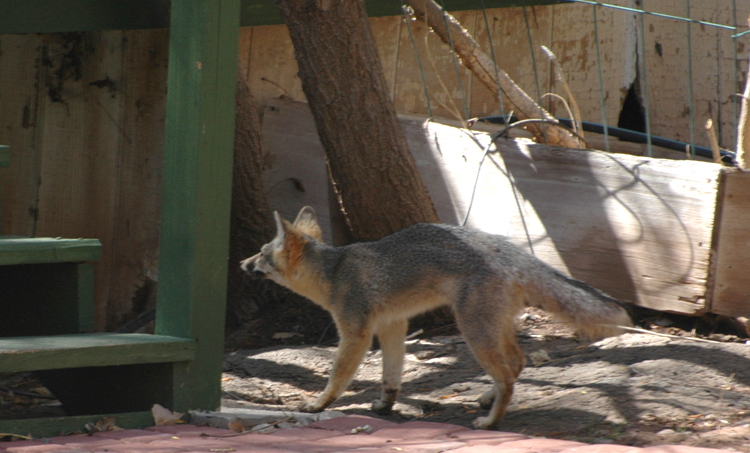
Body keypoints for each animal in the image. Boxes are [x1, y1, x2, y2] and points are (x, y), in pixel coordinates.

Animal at [241, 206, 632, 429]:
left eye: (260, 254)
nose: (241, 263)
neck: (334, 271)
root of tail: (503, 247)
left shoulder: (356, 332)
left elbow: (338, 376)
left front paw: (319, 404)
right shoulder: (392, 325)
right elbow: (391, 373)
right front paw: (386, 403)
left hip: (473, 330)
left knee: (507, 376)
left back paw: (490, 421)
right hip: (493, 327)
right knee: (517, 363)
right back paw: (489, 399)